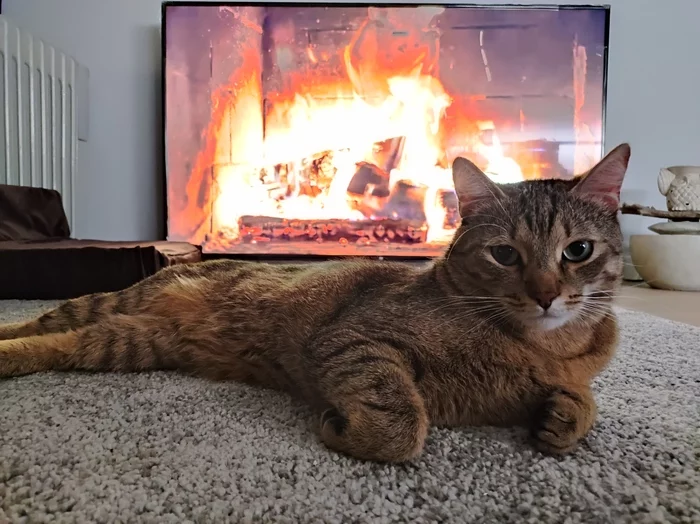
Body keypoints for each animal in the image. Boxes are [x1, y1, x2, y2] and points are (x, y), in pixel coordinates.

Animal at [0, 143, 636, 462]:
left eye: (578, 250)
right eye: (505, 255)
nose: (547, 295)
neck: (541, 347)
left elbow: (584, 401)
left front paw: (567, 417)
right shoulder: (353, 339)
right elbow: (403, 427)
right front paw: (348, 431)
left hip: (126, 343)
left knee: (54, 343)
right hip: (107, 308)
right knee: (36, 322)